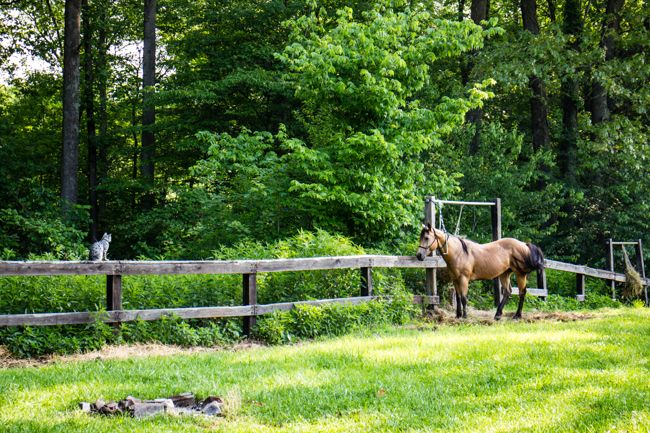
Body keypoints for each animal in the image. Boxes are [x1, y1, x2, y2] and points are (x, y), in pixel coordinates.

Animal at [416, 223, 545, 320]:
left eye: (426, 238)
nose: (419, 255)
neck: (459, 253)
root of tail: (524, 245)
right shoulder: (455, 280)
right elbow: (458, 297)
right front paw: (458, 315)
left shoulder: (463, 279)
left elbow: (463, 298)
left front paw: (465, 316)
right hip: (504, 274)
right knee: (508, 292)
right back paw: (498, 315)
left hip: (520, 274)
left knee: (522, 293)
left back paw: (517, 315)